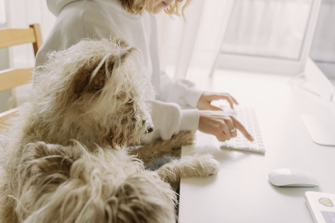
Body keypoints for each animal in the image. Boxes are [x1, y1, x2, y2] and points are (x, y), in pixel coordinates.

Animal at [0, 37, 219, 222]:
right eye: (128, 100)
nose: (150, 128)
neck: (73, 128)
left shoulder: (119, 157)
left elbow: (150, 149)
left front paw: (181, 138)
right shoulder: (104, 187)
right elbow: (162, 172)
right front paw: (199, 163)